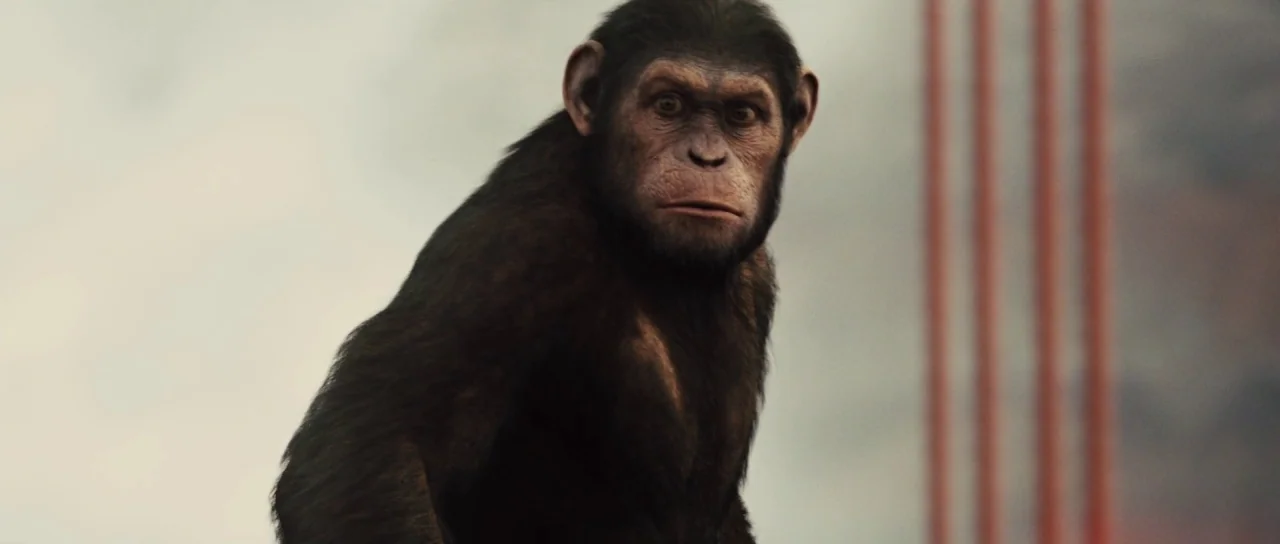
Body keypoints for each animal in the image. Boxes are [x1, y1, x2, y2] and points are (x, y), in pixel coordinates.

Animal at [270, 0, 819, 542]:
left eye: (741, 114)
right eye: (668, 105)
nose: (706, 157)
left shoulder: (756, 273)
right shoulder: (514, 246)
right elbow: (377, 439)